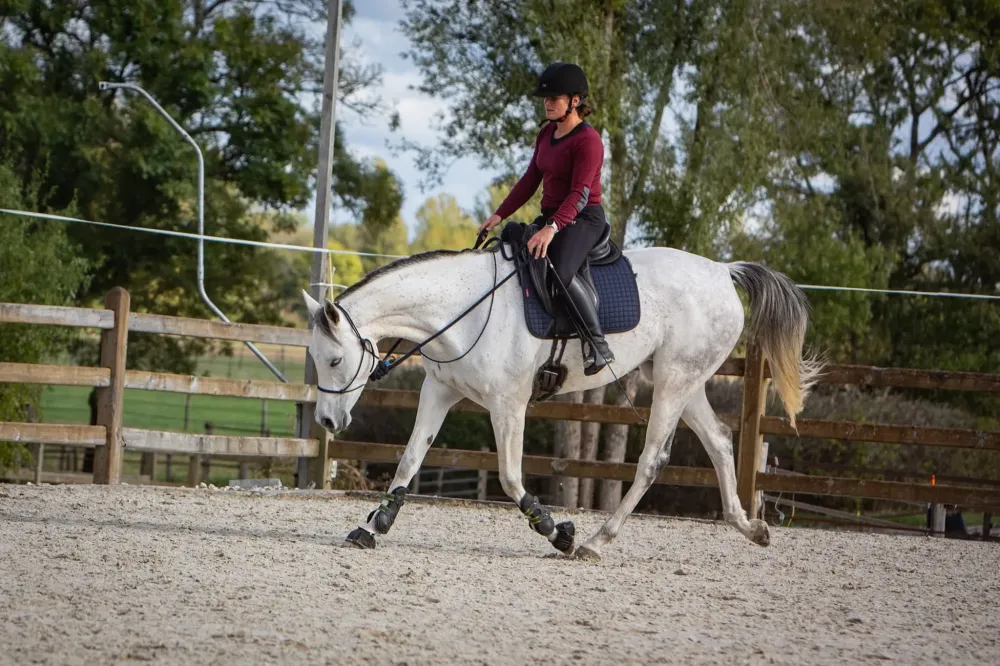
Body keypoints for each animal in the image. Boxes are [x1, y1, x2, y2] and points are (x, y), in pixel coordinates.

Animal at [302, 243, 819, 560]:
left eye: (333, 359)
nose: (326, 421)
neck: (461, 309)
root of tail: (722, 272)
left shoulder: (508, 404)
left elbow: (510, 478)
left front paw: (559, 534)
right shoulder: (439, 391)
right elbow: (409, 461)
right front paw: (373, 527)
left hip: (675, 380)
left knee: (653, 458)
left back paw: (596, 540)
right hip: (684, 382)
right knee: (720, 442)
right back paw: (749, 527)